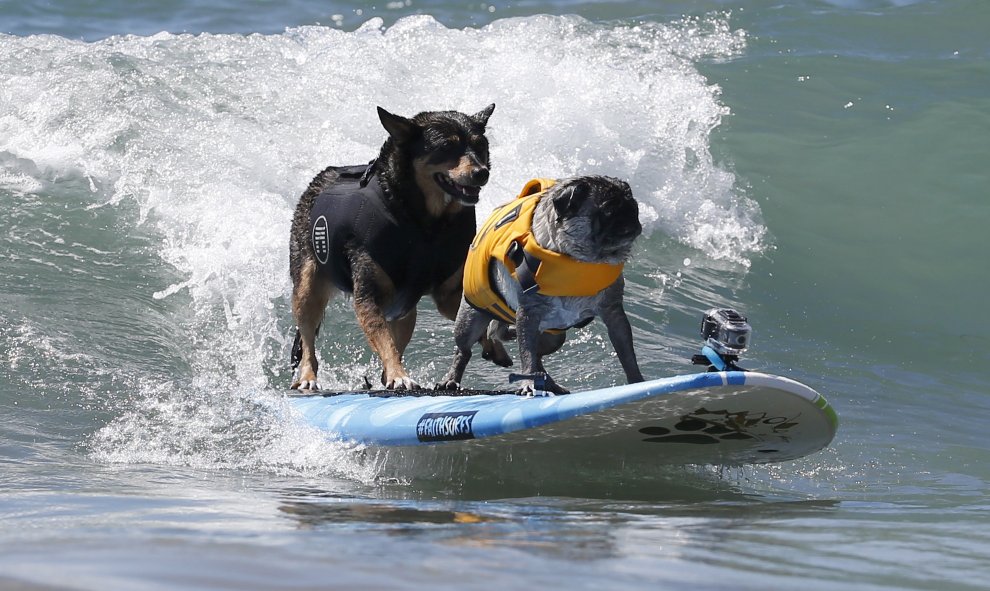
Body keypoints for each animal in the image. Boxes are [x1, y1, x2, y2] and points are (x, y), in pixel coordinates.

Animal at [290, 105, 500, 394]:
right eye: (447, 147)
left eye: (480, 146)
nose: (481, 172)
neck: (425, 223)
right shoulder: (368, 296)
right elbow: (382, 337)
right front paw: (398, 375)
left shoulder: (448, 293)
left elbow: (473, 312)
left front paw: (492, 339)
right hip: (307, 279)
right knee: (307, 331)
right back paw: (308, 376)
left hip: (404, 311)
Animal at [440, 176, 644, 398]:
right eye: (609, 209)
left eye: (631, 201)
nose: (631, 209)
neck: (580, 261)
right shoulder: (528, 314)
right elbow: (526, 355)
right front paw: (528, 383)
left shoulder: (614, 313)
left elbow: (627, 354)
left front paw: (637, 381)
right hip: (470, 320)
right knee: (464, 350)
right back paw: (451, 379)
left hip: (555, 338)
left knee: (534, 353)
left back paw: (550, 383)